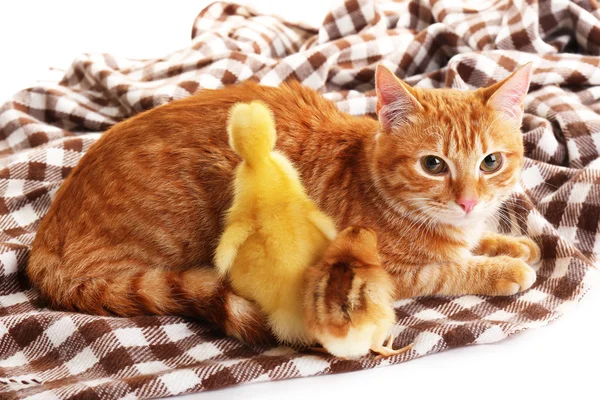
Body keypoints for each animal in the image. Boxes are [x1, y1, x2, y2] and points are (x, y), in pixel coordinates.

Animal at [27, 63, 540, 344]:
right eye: (433, 165)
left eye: (491, 162)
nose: (468, 201)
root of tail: (41, 247)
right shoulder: (372, 274)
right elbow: (444, 270)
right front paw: (503, 268)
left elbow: (471, 246)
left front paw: (510, 244)